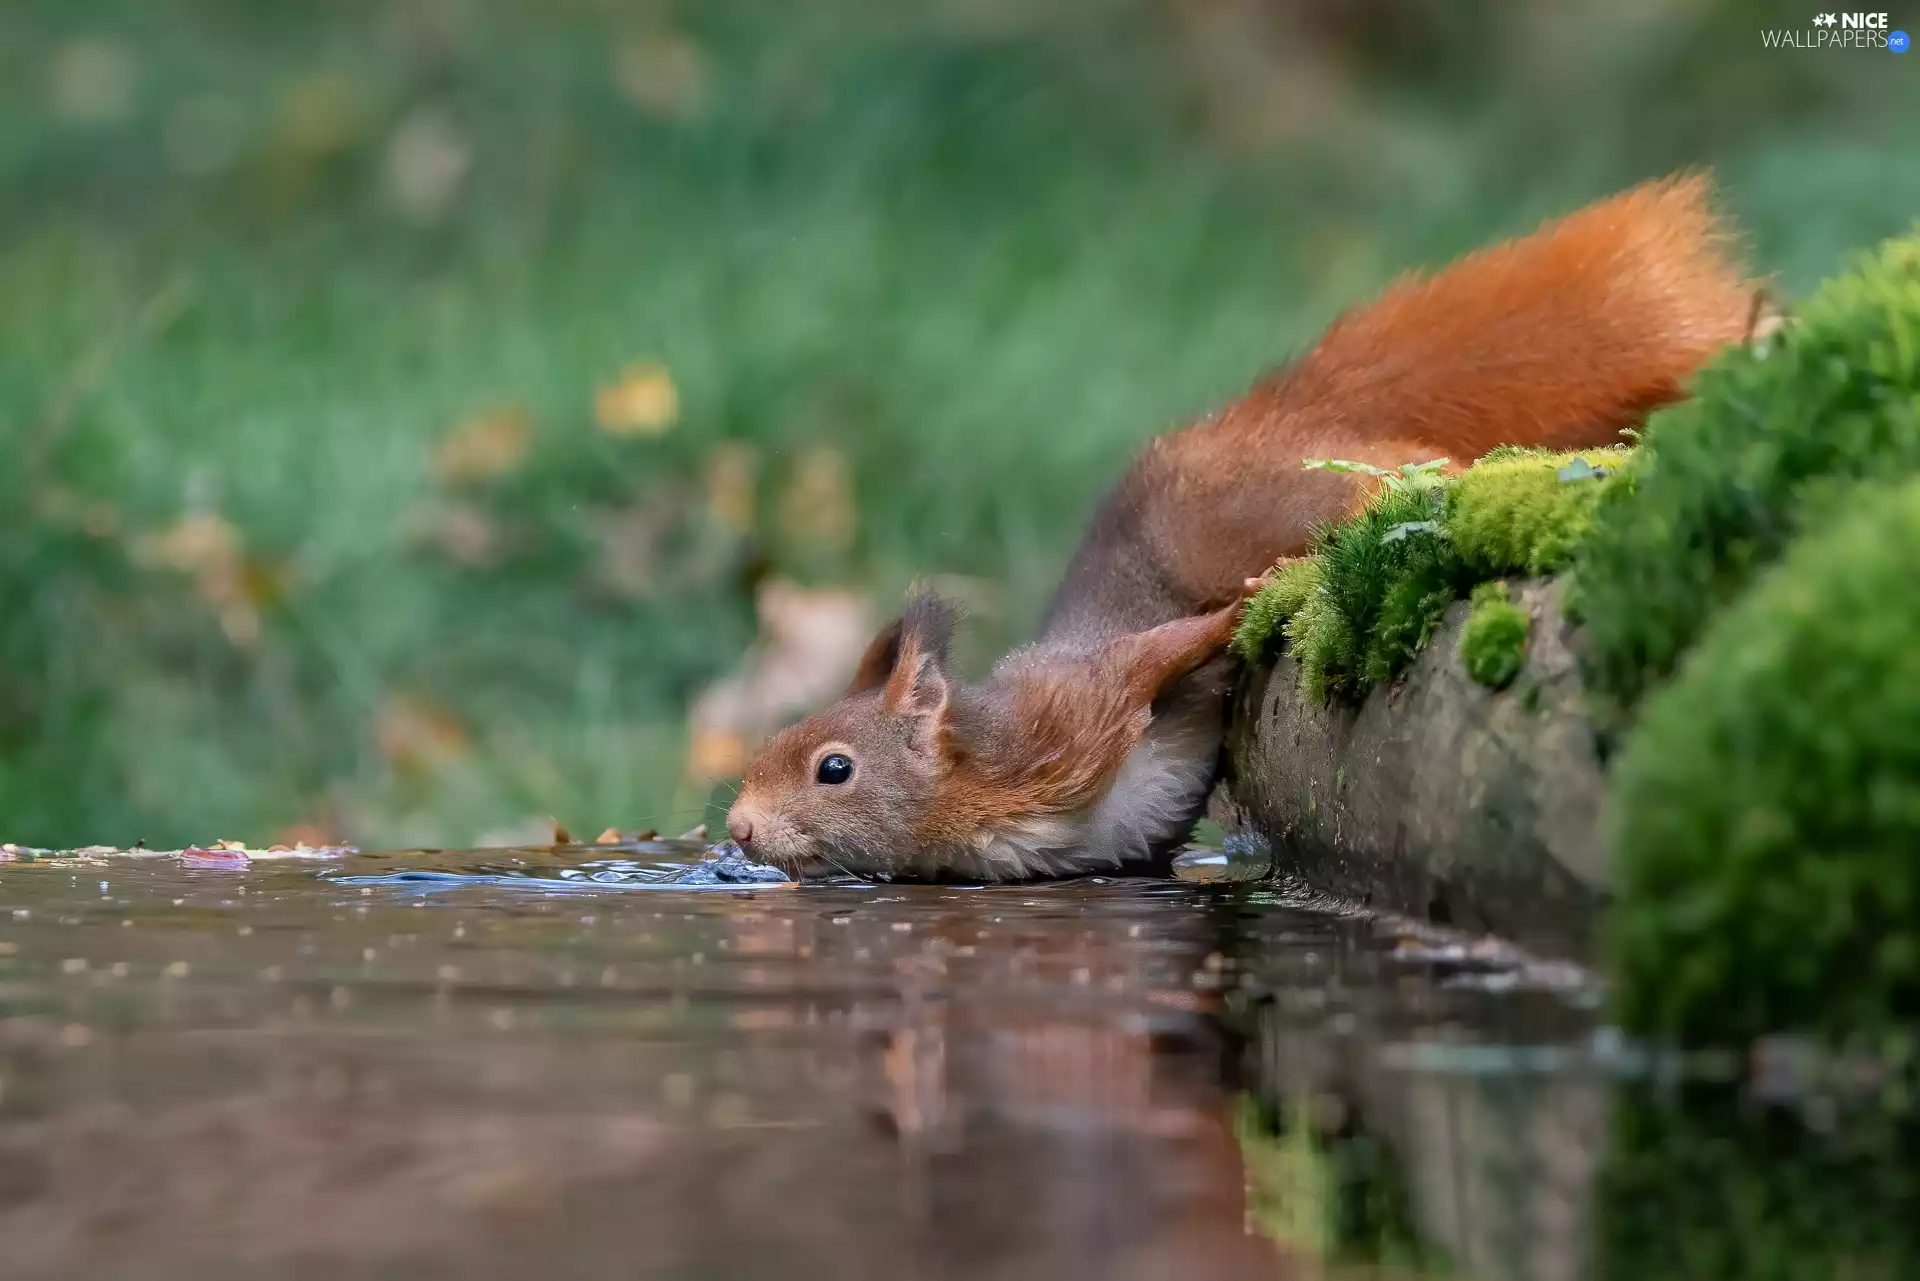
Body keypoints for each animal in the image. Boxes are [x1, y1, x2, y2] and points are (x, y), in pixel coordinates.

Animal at [725, 173, 1757, 882]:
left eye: (832, 768)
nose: (735, 828)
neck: (972, 791)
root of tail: (1269, 423)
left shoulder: (1071, 712)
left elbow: (1158, 654)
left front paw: (1234, 617)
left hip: (1268, 498)